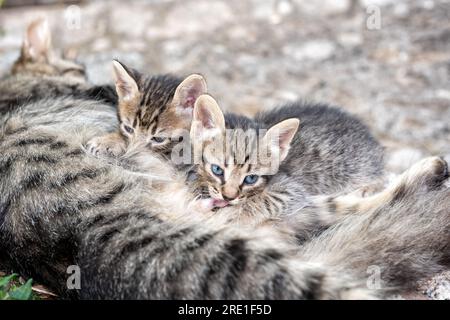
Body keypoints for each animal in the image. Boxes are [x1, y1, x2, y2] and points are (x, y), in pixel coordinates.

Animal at [189, 94, 384, 229]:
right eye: (217, 170)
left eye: (251, 179)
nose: (228, 197)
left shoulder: (292, 189)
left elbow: (263, 200)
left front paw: (231, 215)